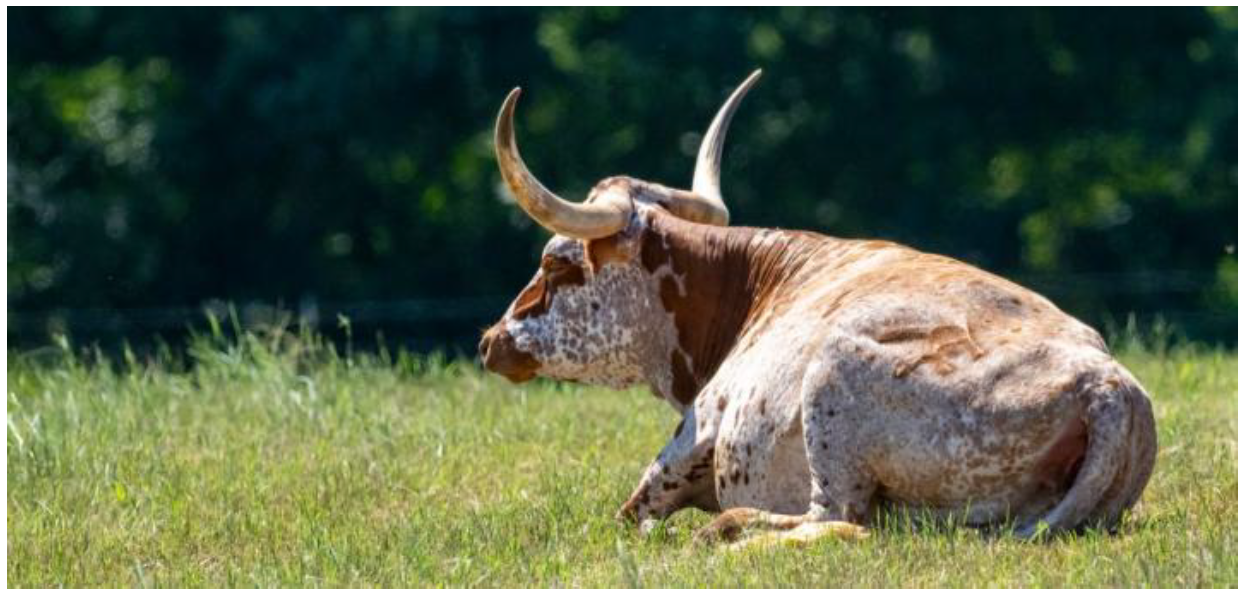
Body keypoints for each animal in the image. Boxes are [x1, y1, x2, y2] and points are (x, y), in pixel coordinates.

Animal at [477, 70, 1157, 548]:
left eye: (556, 262)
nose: (490, 341)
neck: (751, 287)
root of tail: (1108, 390)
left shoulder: (683, 450)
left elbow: (628, 517)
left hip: (834, 376)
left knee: (840, 521)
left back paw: (728, 532)